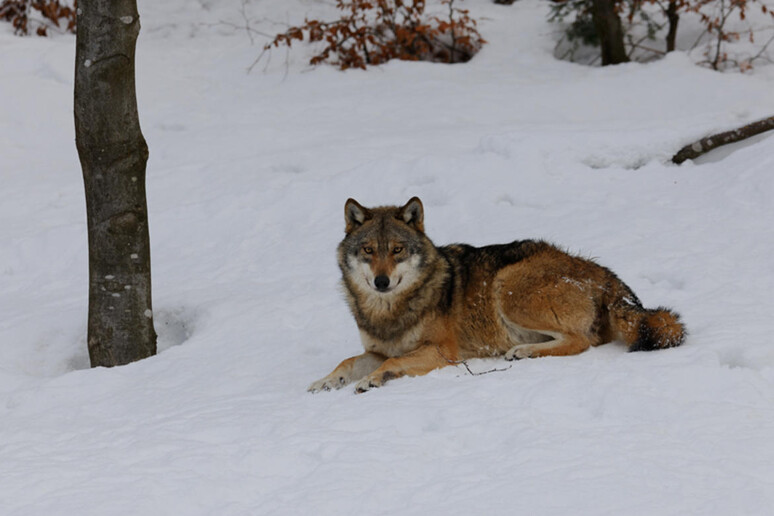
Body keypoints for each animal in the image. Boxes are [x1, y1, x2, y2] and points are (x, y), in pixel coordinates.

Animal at [308, 196, 684, 394]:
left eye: (397, 250)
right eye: (369, 250)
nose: (381, 281)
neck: (388, 310)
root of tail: (603, 273)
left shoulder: (442, 352)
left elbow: (392, 362)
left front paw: (374, 379)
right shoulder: (374, 349)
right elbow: (348, 362)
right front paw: (325, 381)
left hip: (507, 286)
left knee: (581, 342)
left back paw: (524, 351)